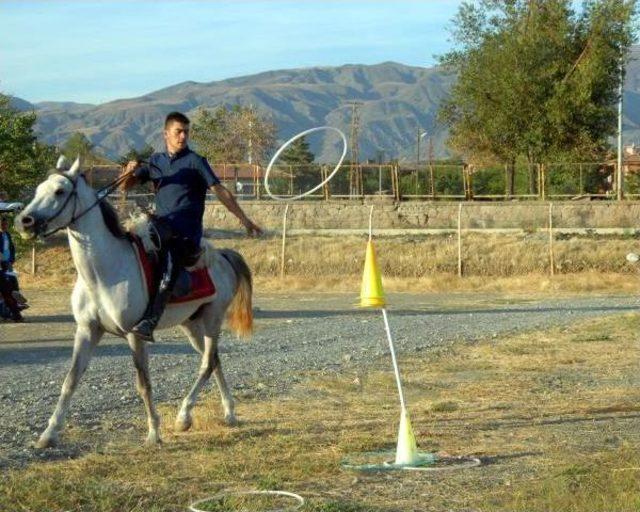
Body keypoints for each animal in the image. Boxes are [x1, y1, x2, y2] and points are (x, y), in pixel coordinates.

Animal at [13, 158, 251, 446]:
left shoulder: (134, 335)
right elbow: (70, 380)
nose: (24, 221)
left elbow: (143, 383)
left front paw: (154, 433)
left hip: (213, 319)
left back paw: (184, 416)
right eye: (38, 189)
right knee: (214, 360)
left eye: (60, 191)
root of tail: (223, 257)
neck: (103, 274)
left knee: (206, 364)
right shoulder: (87, 330)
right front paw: (48, 434)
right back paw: (228, 413)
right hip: (192, 324)